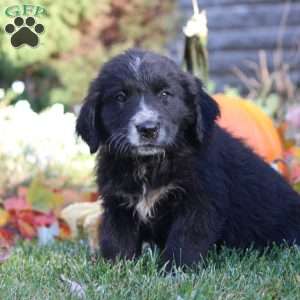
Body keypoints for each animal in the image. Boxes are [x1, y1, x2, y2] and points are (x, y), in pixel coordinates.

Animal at [76, 49, 300, 270]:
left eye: (165, 94)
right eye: (120, 97)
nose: (148, 129)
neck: (150, 164)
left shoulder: (199, 202)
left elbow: (184, 241)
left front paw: (174, 271)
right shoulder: (118, 204)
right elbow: (117, 241)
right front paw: (116, 269)